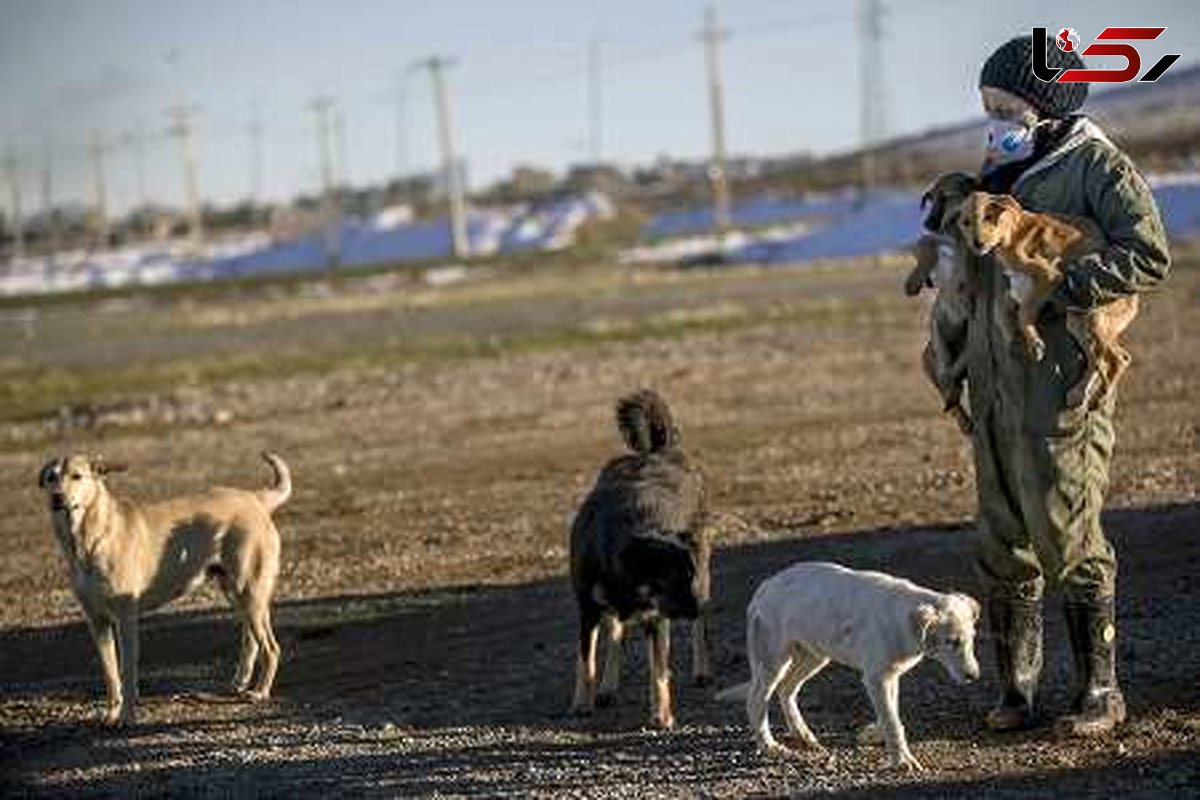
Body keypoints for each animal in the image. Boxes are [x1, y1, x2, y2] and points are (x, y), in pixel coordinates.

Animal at [37, 450, 290, 724]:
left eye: (77, 476)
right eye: (51, 478)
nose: (57, 497)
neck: (90, 536)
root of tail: (254, 498)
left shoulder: (126, 619)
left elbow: (127, 673)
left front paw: (127, 717)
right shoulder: (97, 621)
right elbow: (111, 675)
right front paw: (113, 713)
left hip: (250, 592)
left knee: (271, 648)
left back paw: (260, 691)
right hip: (237, 594)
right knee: (251, 638)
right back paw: (240, 683)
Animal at [571, 388, 710, 734]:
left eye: (687, 577)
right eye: (671, 579)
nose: (695, 606)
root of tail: (660, 450)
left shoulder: (656, 611)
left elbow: (658, 669)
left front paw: (662, 715)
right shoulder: (588, 608)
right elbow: (586, 659)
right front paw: (582, 702)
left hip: (703, 562)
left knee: (697, 632)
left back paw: (702, 669)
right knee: (617, 634)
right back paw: (607, 687)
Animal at [715, 561, 979, 772]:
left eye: (971, 639)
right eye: (952, 642)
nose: (973, 676)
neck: (901, 620)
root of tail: (765, 586)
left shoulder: (891, 676)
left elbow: (892, 718)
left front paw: (882, 741)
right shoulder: (876, 678)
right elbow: (892, 722)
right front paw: (902, 761)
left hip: (815, 657)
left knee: (786, 690)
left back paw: (803, 735)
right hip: (773, 663)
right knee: (756, 700)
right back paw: (769, 745)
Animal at [960, 190, 1137, 407]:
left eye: (989, 216)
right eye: (966, 222)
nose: (978, 244)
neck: (1014, 231)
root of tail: (1134, 298)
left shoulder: (1049, 276)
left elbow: (1024, 313)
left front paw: (1035, 343)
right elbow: (1008, 312)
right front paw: (1021, 339)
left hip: (1095, 320)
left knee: (1118, 359)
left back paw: (1101, 396)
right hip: (1078, 322)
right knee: (1099, 361)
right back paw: (1079, 392)